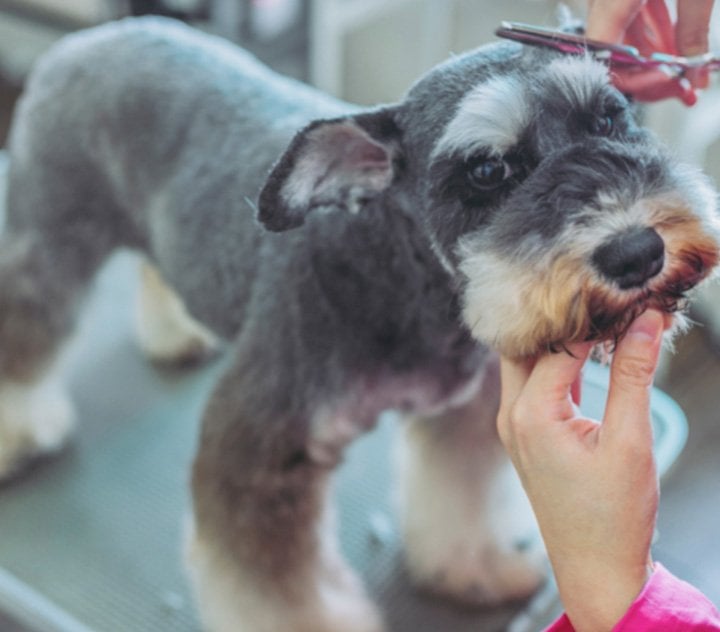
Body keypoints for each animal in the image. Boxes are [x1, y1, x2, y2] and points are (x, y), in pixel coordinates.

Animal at [4, 16, 720, 632]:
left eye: (611, 116)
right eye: (487, 170)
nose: (637, 252)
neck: (401, 278)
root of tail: (100, 34)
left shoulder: (469, 412)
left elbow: (463, 497)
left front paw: (475, 567)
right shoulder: (261, 445)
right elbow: (274, 586)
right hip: (50, 233)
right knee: (28, 315)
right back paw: (20, 430)